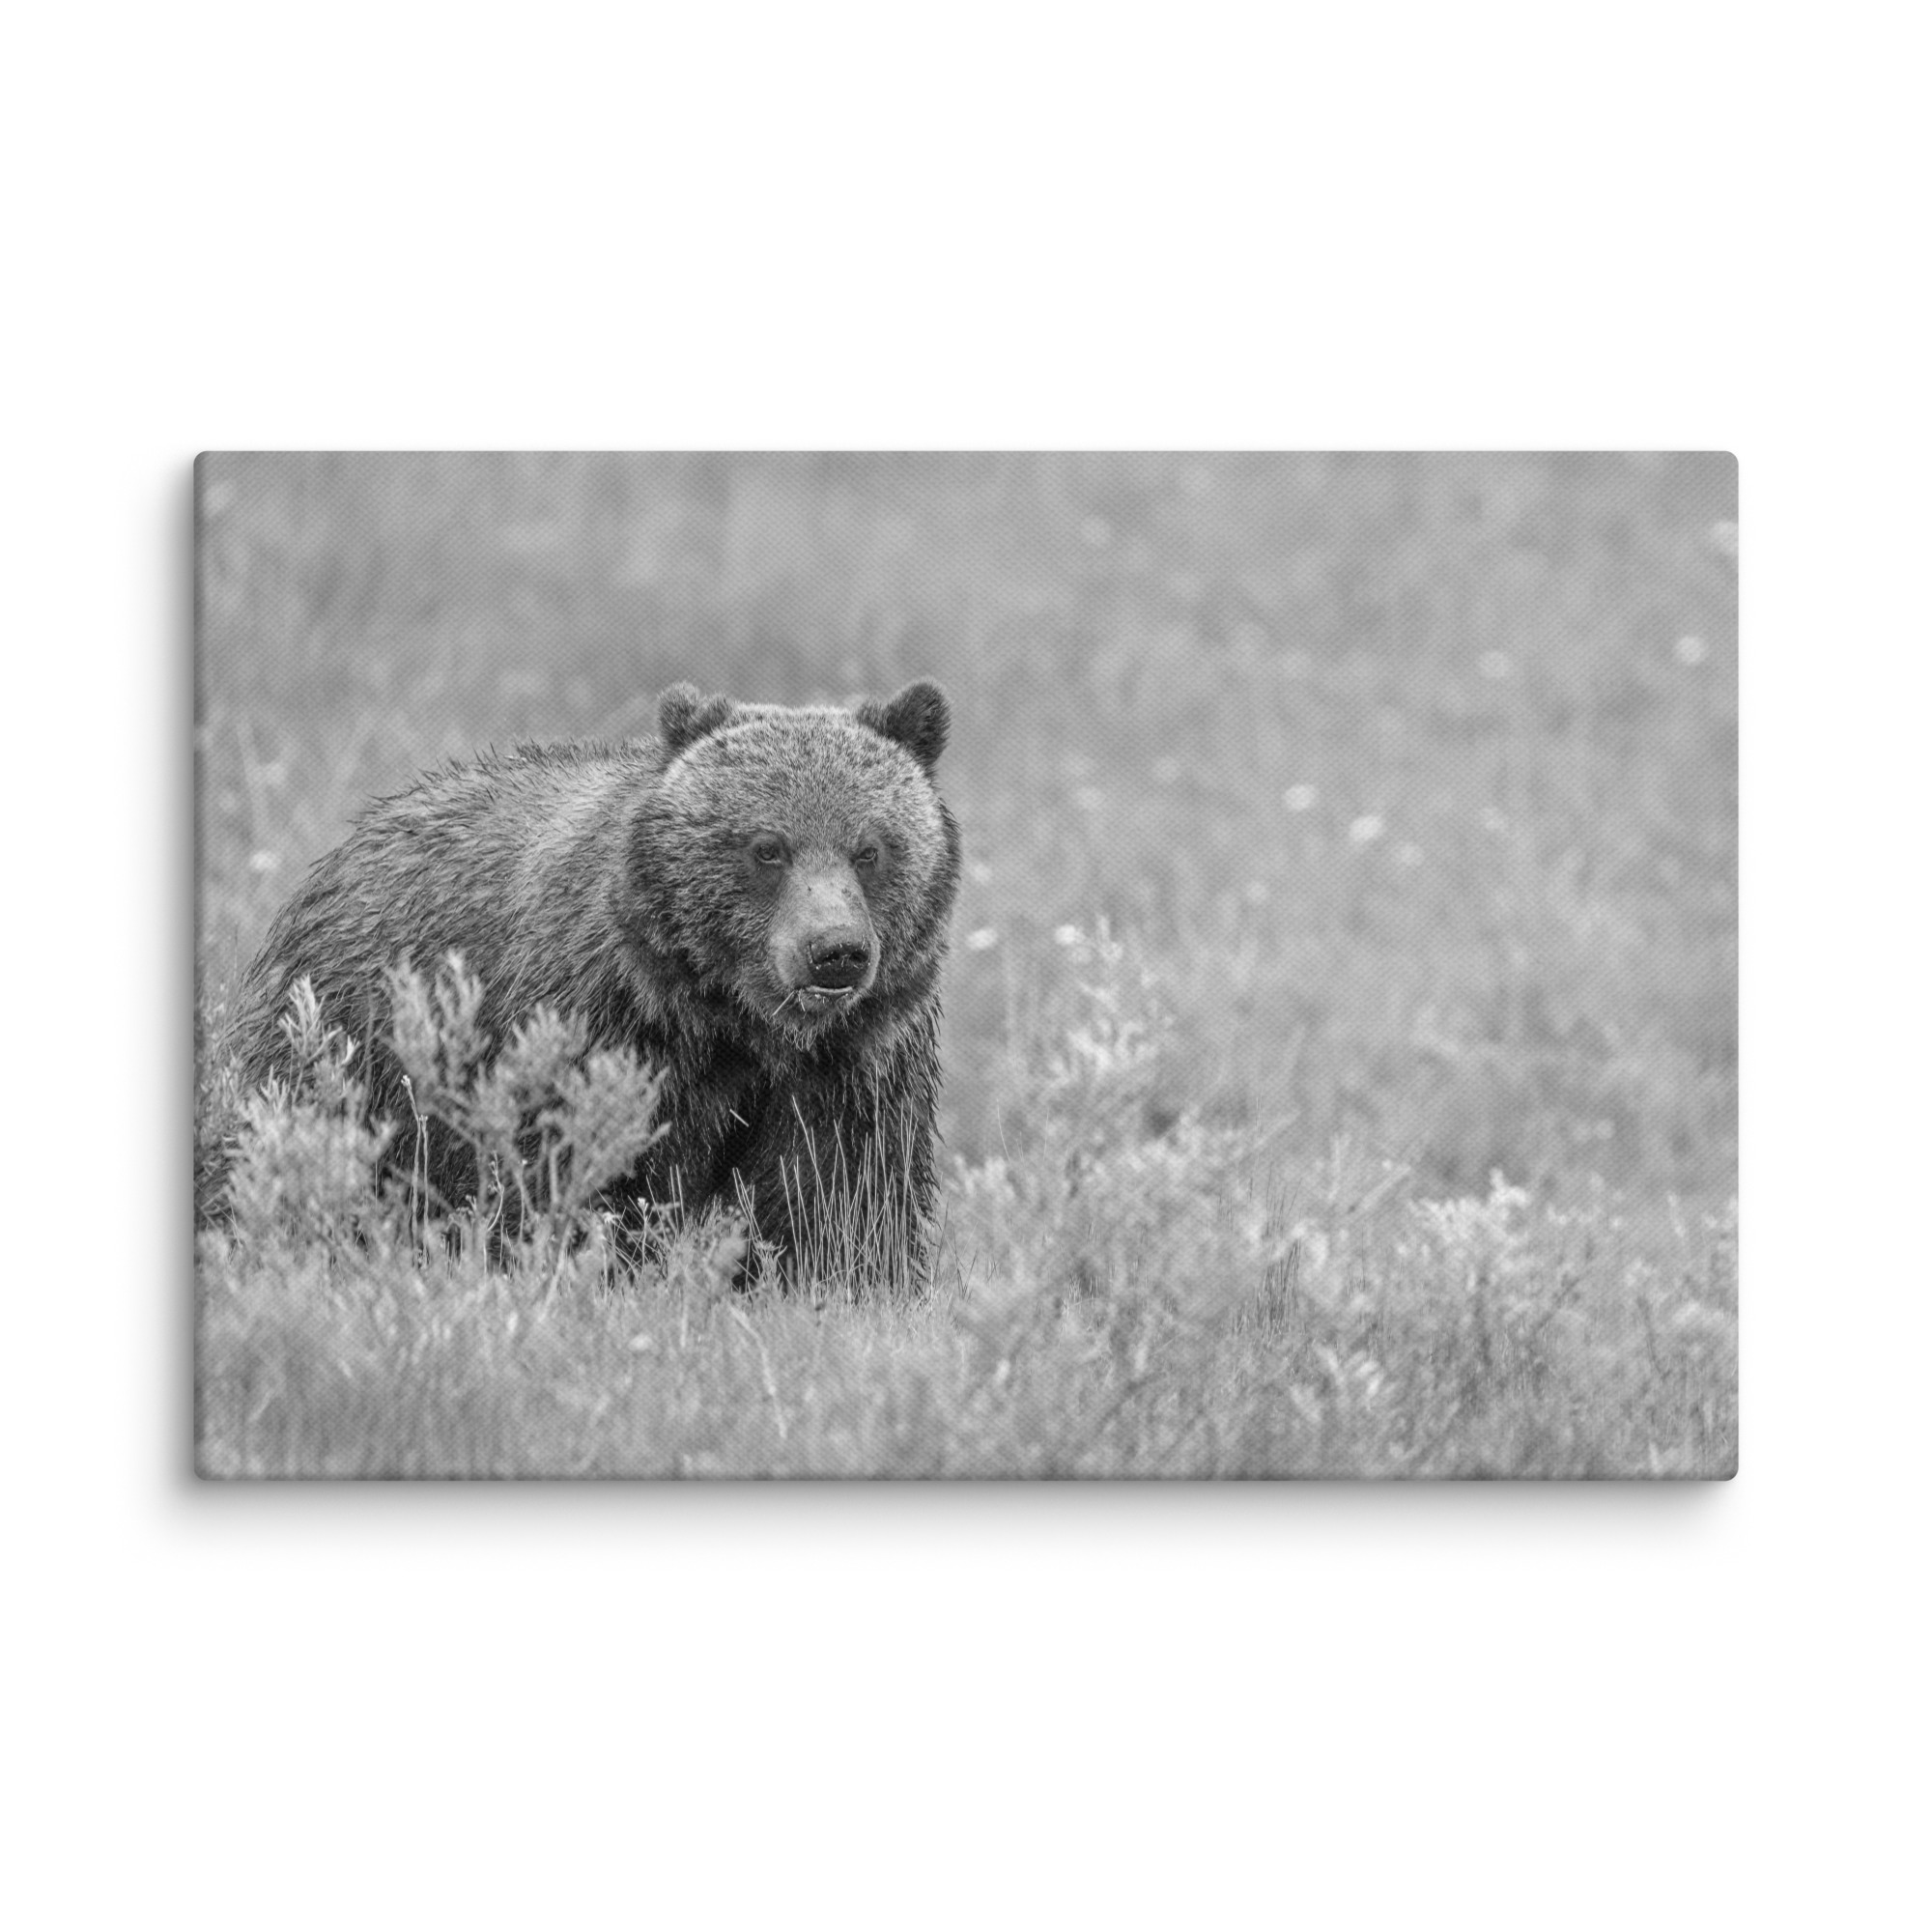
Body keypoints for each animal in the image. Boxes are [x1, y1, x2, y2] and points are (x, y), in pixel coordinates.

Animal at [227, 679, 960, 1283]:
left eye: (869, 849)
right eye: (767, 847)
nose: (834, 951)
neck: (735, 1023)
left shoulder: (854, 1064)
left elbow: (841, 1201)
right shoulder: (605, 1028)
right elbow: (581, 1174)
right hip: (351, 1044)